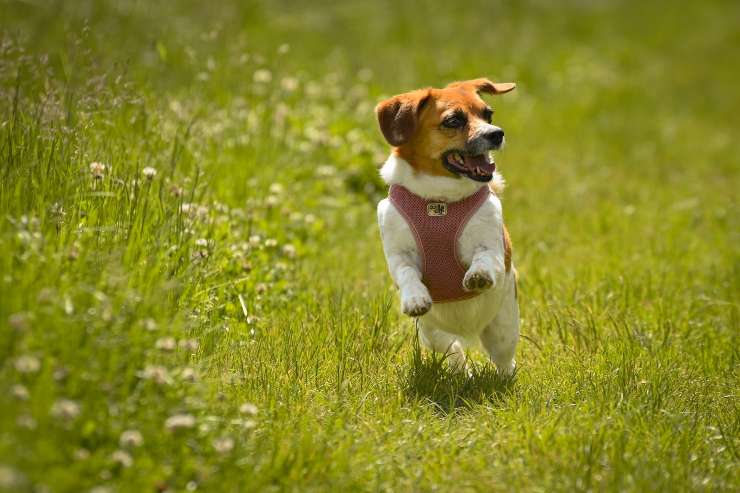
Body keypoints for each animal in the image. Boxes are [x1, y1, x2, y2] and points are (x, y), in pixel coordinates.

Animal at [376, 79, 520, 374]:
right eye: (453, 121)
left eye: (488, 115)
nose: (497, 134)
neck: (439, 201)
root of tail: (468, 330)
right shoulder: (398, 255)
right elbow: (407, 273)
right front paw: (414, 298)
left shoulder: (491, 245)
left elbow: (485, 257)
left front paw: (478, 275)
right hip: (431, 333)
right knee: (453, 351)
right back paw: (461, 369)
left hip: (503, 328)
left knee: (504, 360)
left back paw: (504, 376)